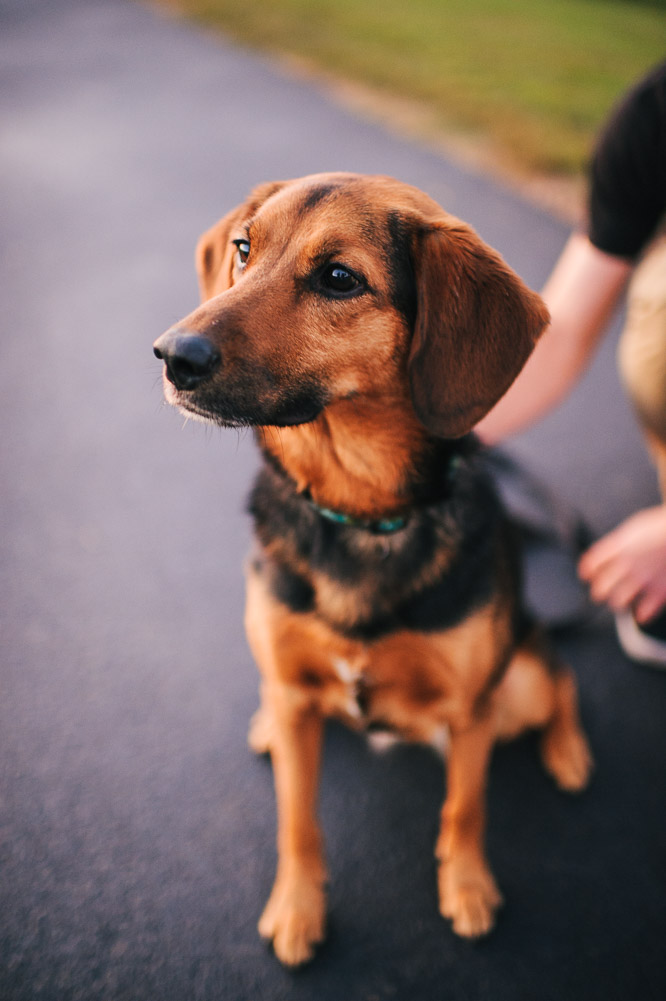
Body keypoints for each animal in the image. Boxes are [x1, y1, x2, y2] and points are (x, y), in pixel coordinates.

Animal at [154, 174, 592, 968]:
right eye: (244, 248)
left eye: (339, 278)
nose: (172, 355)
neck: (355, 512)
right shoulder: (298, 694)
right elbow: (298, 821)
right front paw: (297, 911)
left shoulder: (473, 709)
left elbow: (465, 807)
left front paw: (468, 888)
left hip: (518, 683)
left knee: (561, 677)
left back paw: (570, 752)